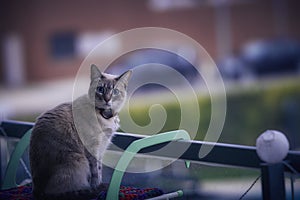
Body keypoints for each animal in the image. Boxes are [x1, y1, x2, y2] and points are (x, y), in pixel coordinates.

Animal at [29, 65, 132, 199]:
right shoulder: (92, 149)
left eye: (115, 92)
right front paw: (98, 187)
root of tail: (37, 191)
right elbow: (95, 173)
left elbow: (100, 170)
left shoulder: (102, 147)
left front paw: (100, 185)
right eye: (100, 89)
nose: (107, 99)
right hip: (78, 160)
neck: (104, 115)